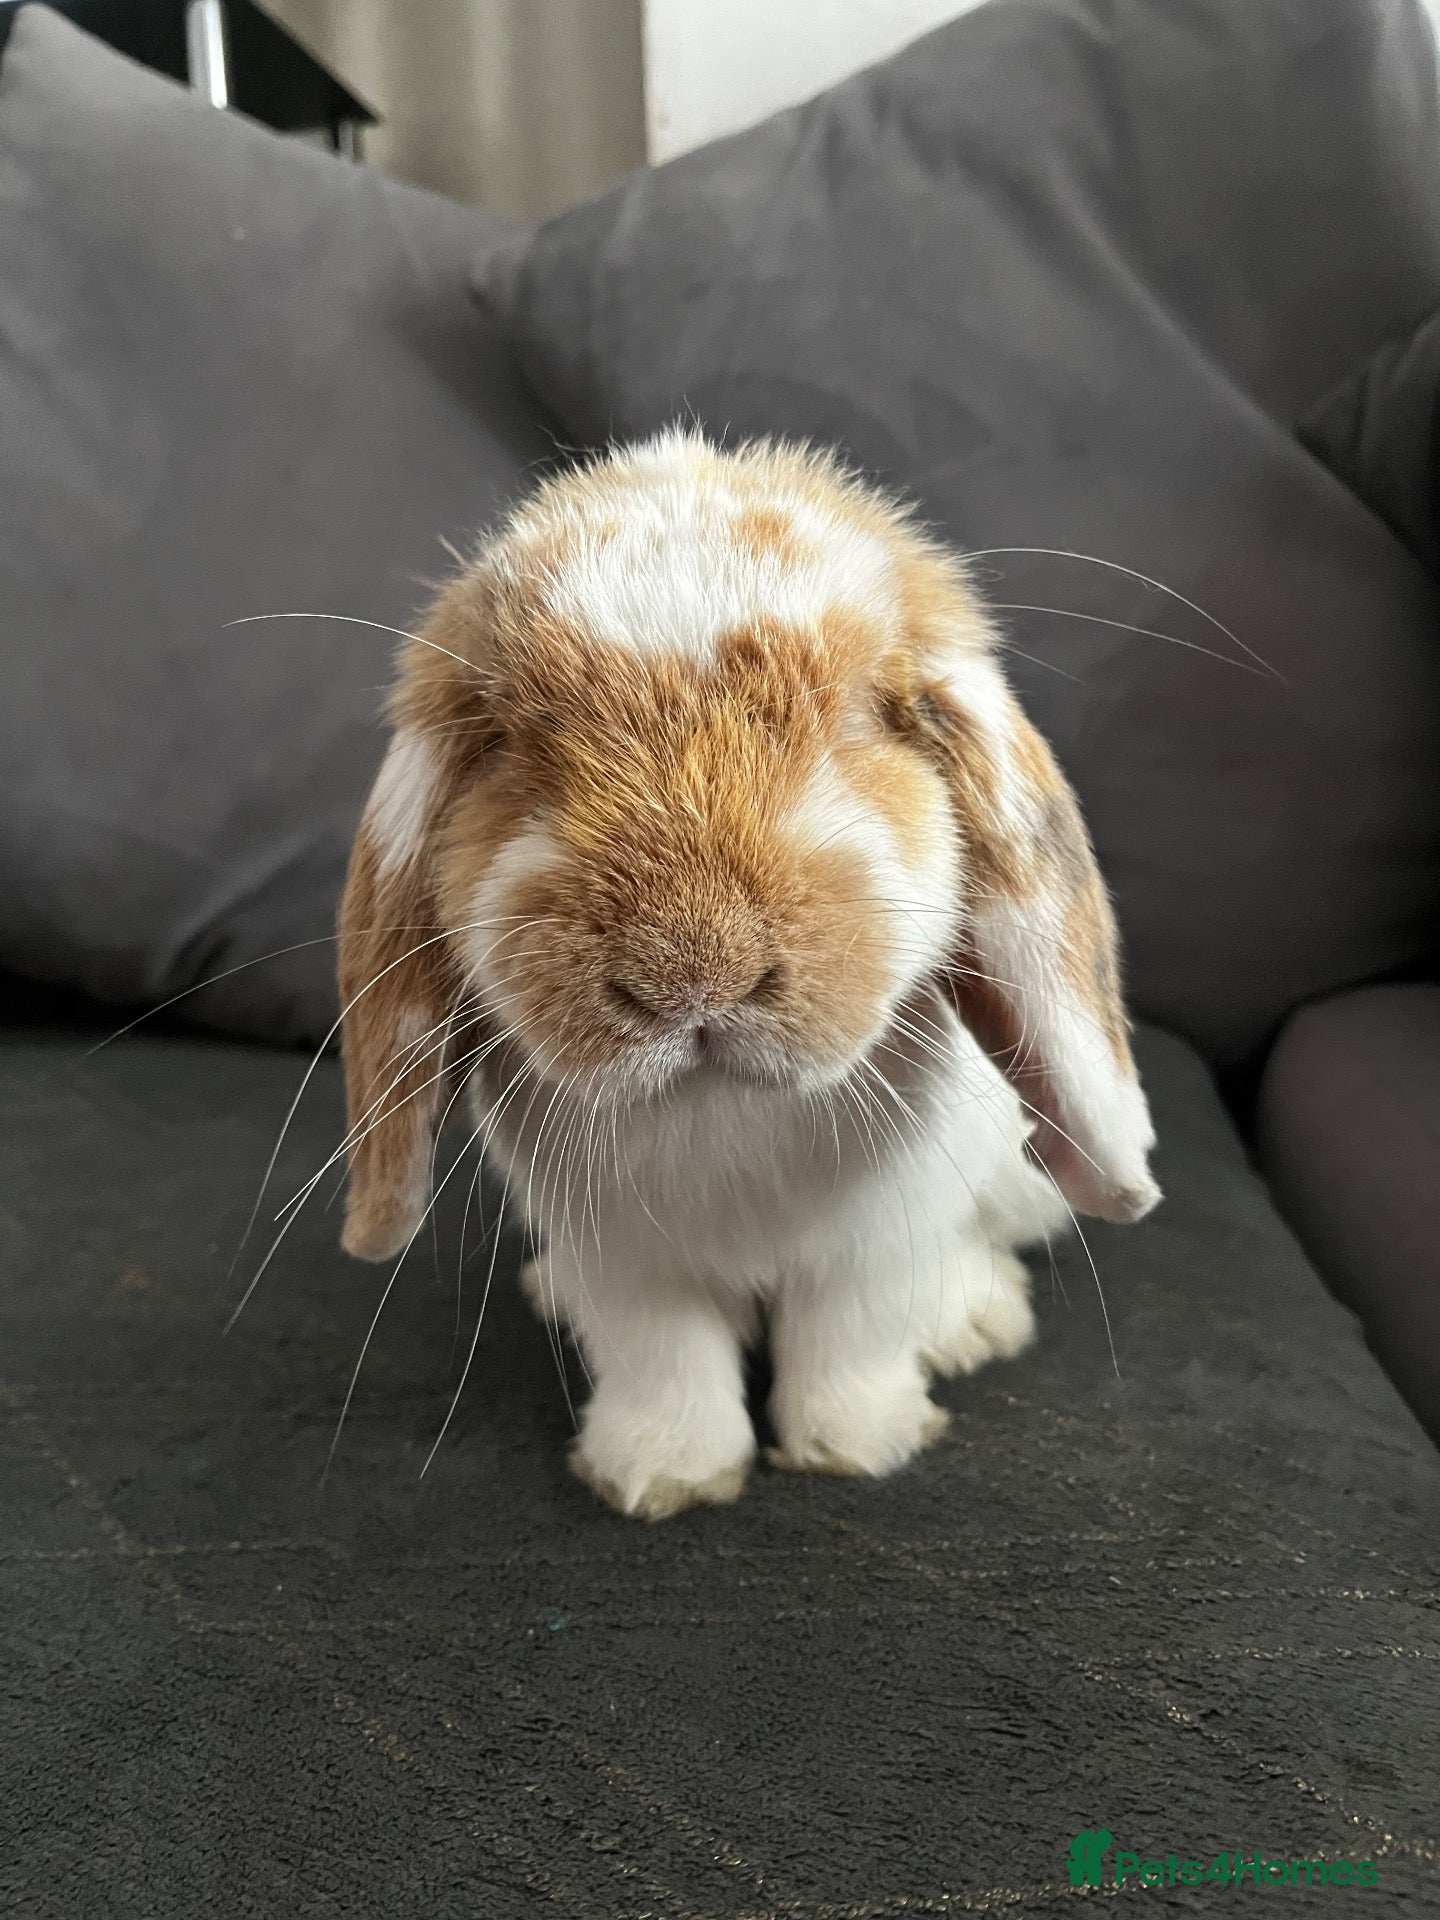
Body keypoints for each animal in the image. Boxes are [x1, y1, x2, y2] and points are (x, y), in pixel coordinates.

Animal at [336, 430, 1160, 1519]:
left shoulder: (874, 1240)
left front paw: (861, 1447)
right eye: (509, 745)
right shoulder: (625, 1260)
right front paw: (663, 1476)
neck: (719, 1114)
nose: (695, 971)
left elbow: (851, 1340)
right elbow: (663, 1360)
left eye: (860, 723)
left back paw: (973, 1324)